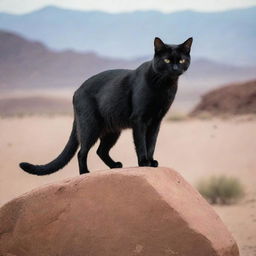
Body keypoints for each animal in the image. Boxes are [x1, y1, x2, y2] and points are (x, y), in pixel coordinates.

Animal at [19, 36, 192, 175]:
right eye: (167, 60)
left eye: (181, 60)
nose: (175, 69)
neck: (165, 85)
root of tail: (76, 91)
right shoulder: (139, 119)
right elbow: (141, 143)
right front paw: (144, 162)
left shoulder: (156, 121)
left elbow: (152, 143)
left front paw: (151, 162)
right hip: (90, 126)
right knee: (82, 152)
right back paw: (85, 173)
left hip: (112, 130)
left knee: (100, 150)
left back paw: (115, 165)